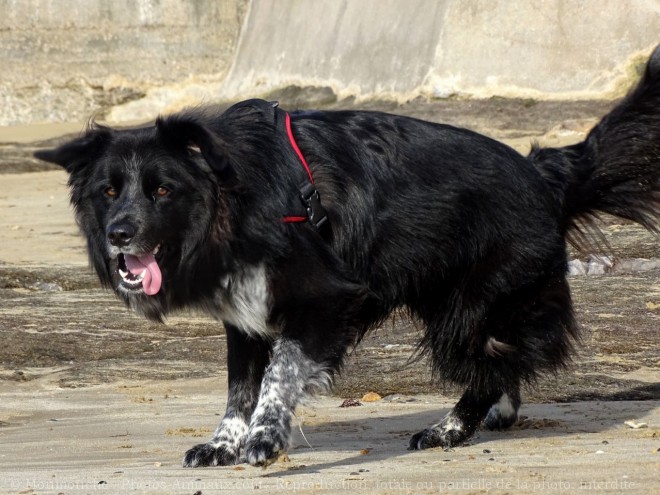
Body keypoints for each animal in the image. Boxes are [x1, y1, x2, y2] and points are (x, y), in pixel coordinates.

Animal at [37, 44, 660, 466]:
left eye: (162, 191)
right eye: (108, 191)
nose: (118, 234)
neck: (234, 196)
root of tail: (545, 172)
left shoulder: (325, 300)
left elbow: (280, 372)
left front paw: (265, 437)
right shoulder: (244, 313)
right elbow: (239, 386)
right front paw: (223, 443)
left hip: (467, 309)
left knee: (491, 361)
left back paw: (449, 429)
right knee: (503, 359)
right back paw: (497, 414)